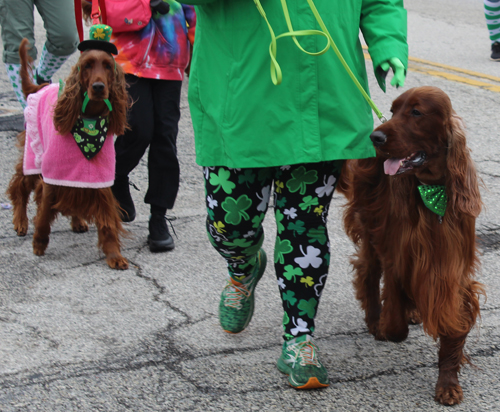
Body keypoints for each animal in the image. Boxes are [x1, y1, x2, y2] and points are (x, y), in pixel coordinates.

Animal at [6, 39, 130, 270]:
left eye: (107, 66)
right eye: (87, 65)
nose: (98, 87)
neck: (88, 121)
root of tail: (41, 87)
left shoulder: (99, 179)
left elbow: (107, 220)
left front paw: (114, 256)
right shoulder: (52, 176)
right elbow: (45, 211)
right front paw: (39, 243)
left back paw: (77, 221)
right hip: (33, 157)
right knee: (20, 186)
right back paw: (20, 221)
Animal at [338, 87, 486, 406]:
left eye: (416, 112)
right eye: (393, 111)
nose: (376, 137)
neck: (432, 190)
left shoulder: (452, 270)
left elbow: (453, 327)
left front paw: (448, 383)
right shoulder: (399, 256)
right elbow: (396, 325)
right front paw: (386, 325)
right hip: (371, 225)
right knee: (368, 273)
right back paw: (375, 320)